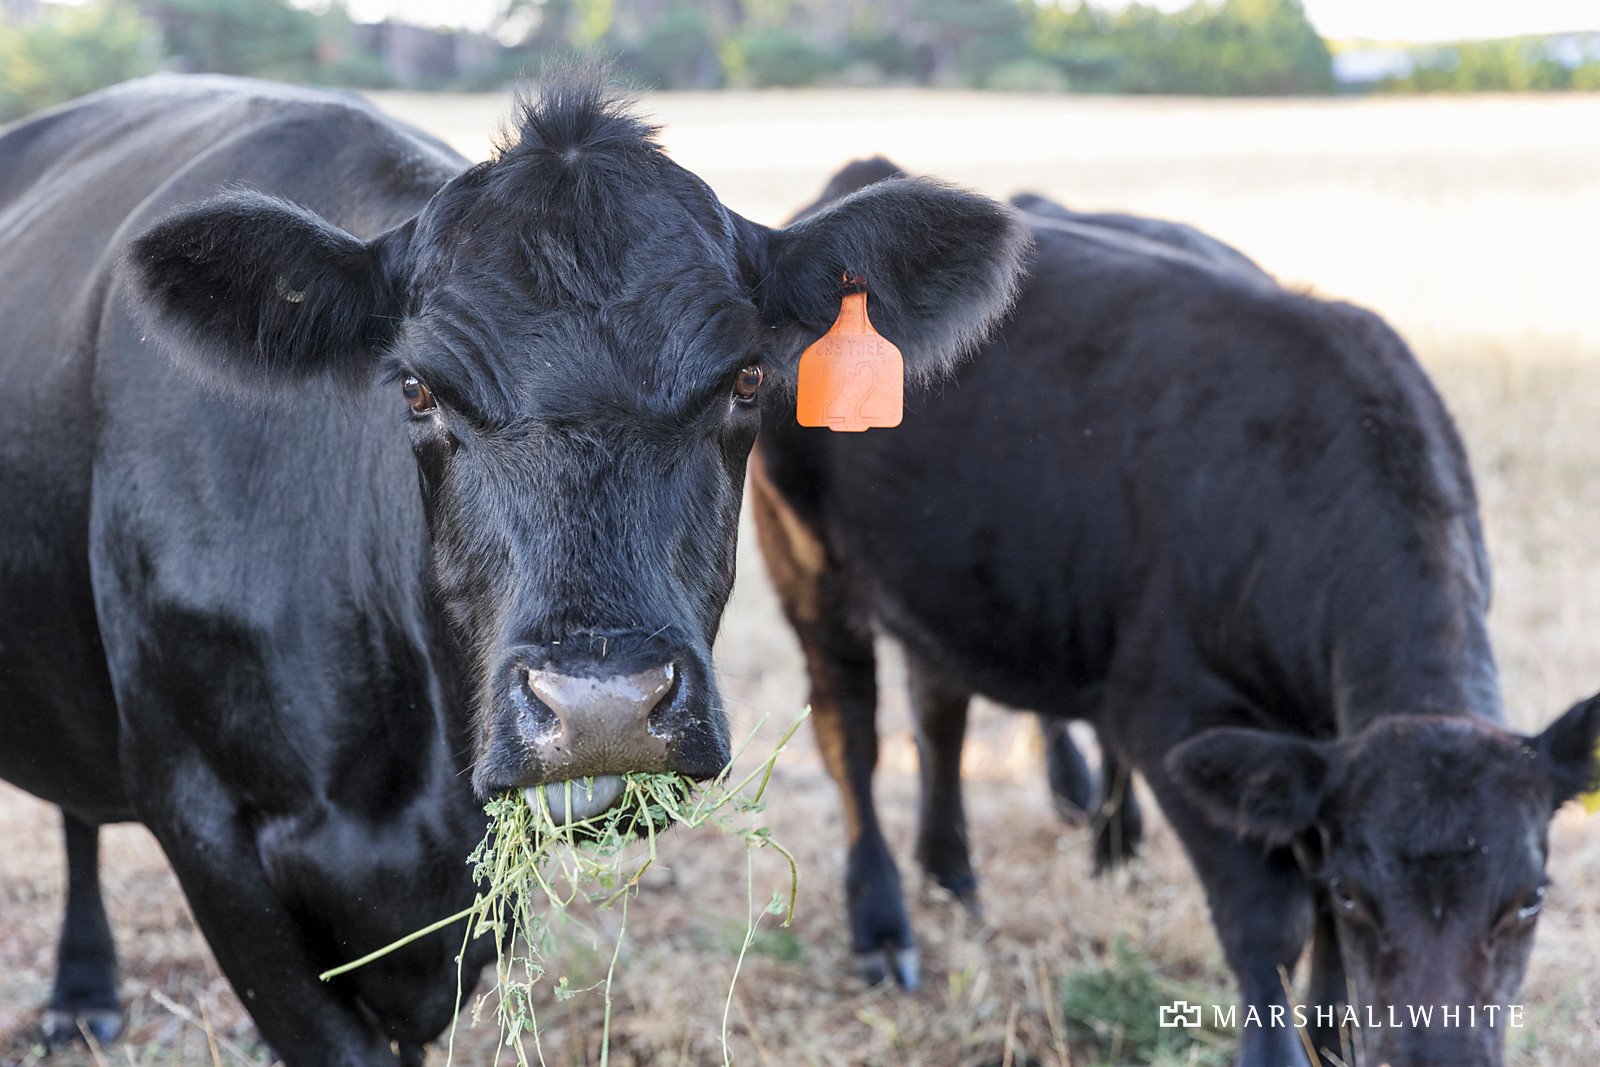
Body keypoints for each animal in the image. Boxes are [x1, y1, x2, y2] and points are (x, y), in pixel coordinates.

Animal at [752, 158, 1600, 1067]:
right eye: (1359, 894)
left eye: (1530, 898)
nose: (1437, 1054)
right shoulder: (1171, 713)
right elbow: (1271, 921)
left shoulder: (1307, 759)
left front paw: (1334, 1031)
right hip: (805, 561)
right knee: (851, 734)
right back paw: (882, 925)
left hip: (943, 579)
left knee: (939, 709)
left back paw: (953, 872)